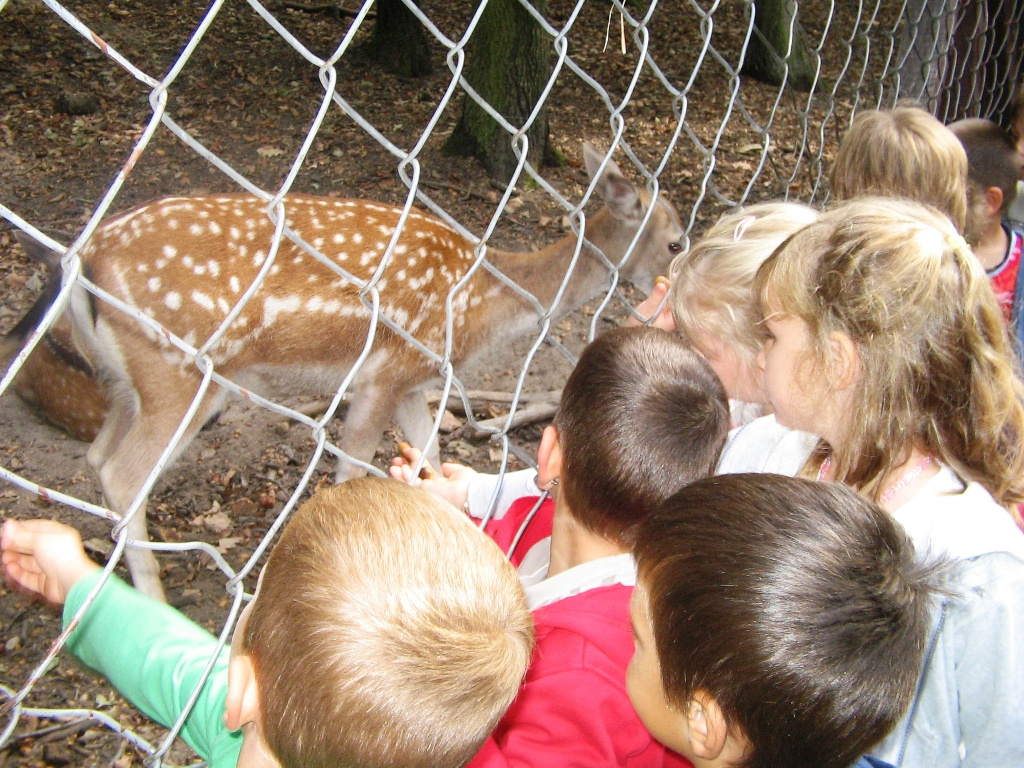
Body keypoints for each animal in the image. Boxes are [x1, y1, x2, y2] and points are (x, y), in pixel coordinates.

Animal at [68, 145, 684, 602]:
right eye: (675, 240)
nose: (680, 276)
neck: (480, 303)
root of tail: (84, 262)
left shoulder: (414, 378)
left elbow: (431, 453)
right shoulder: (384, 373)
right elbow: (349, 470)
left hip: (129, 383)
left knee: (98, 455)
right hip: (180, 371)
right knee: (124, 472)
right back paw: (150, 600)